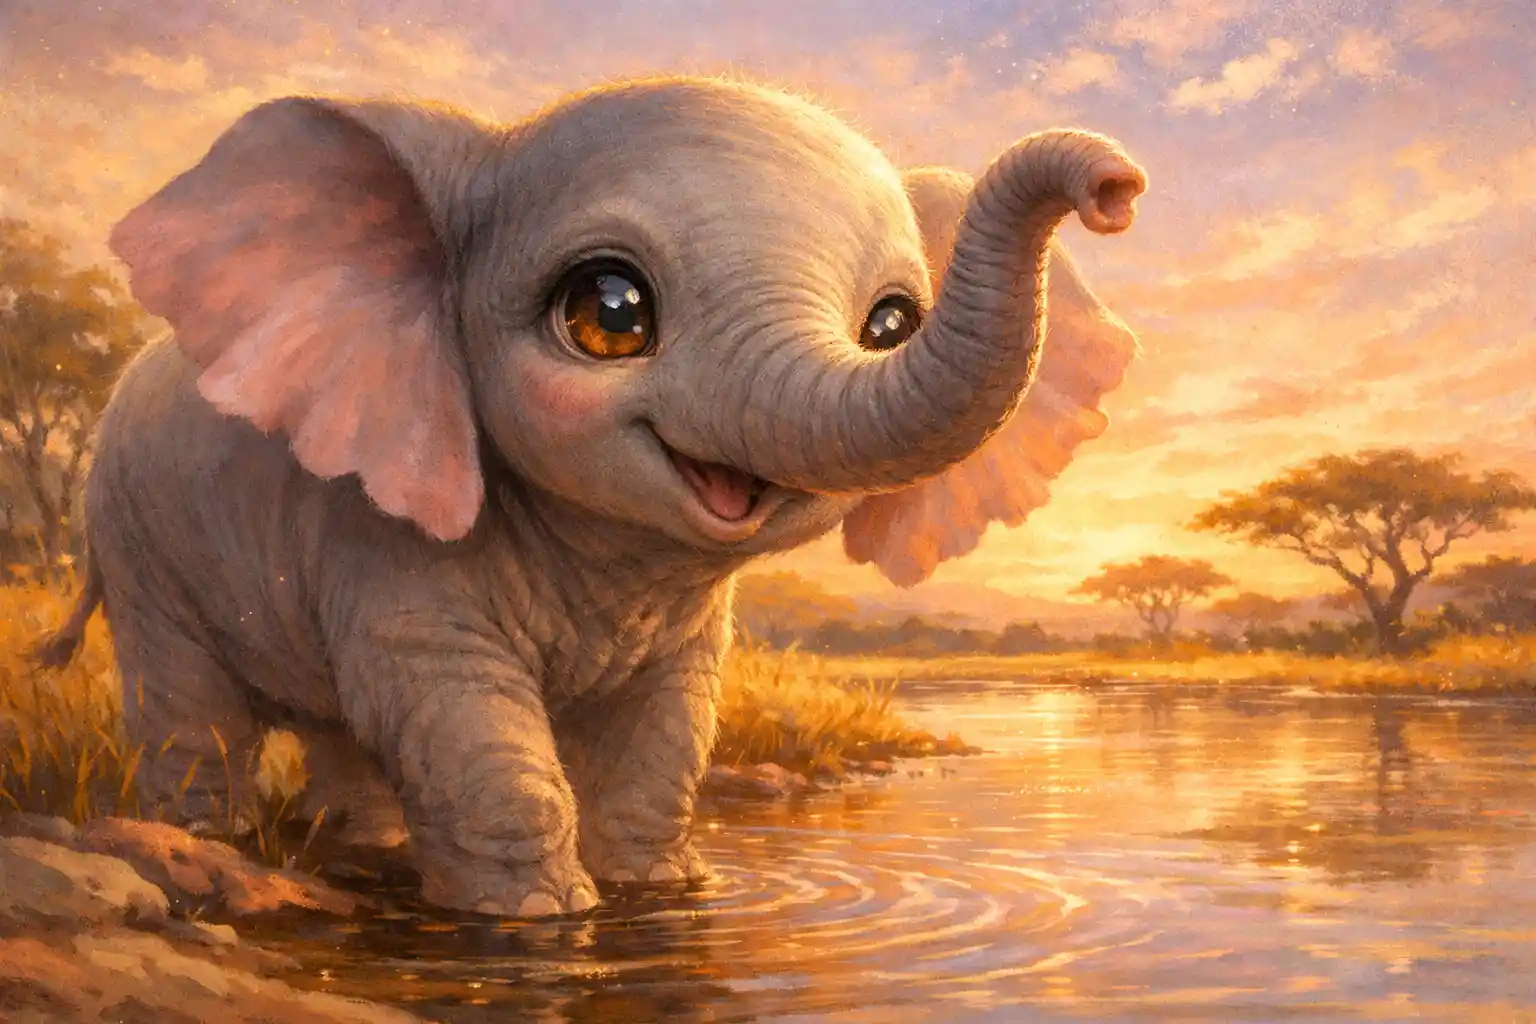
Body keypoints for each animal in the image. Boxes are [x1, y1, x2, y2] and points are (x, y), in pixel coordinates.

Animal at [37, 75, 1146, 918]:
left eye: (889, 326)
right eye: (610, 311)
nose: (1118, 186)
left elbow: (666, 738)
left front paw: (658, 895)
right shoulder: (387, 524)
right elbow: (460, 715)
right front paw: (538, 922)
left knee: (336, 730)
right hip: (135, 533)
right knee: (196, 715)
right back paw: (207, 840)